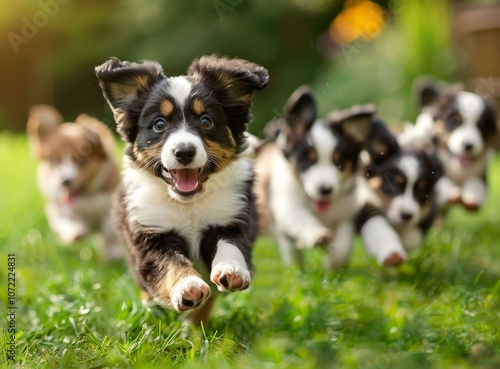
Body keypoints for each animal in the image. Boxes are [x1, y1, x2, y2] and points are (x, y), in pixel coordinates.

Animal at [26, 105, 121, 258]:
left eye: (81, 161)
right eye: (54, 161)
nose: (65, 181)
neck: (85, 196)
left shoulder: (110, 208)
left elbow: (109, 232)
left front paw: (112, 253)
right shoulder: (59, 209)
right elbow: (67, 222)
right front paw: (76, 232)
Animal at [94, 54, 270, 324]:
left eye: (206, 121)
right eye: (159, 124)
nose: (184, 152)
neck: (189, 204)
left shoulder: (232, 217)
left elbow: (231, 244)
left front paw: (232, 271)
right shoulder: (150, 234)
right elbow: (169, 262)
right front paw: (188, 286)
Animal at [254, 85, 376, 268]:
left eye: (340, 163)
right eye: (307, 161)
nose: (325, 189)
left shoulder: (345, 213)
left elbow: (343, 245)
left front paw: (332, 264)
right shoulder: (287, 204)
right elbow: (301, 218)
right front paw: (318, 235)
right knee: (291, 249)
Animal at [358, 119, 444, 266]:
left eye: (421, 191)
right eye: (392, 183)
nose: (406, 215)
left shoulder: (429, 210)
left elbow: (413, 236)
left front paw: (403, 239)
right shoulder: (365, 201)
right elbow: (379, 228)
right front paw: (393, 255)